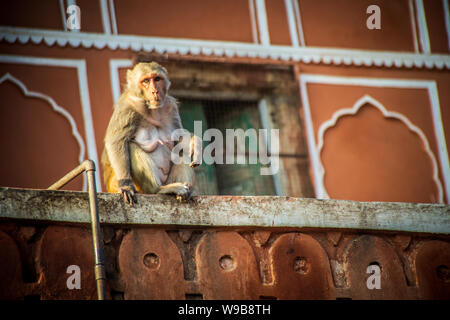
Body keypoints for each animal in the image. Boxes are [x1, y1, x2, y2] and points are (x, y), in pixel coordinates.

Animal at [103, 62, 201, 205]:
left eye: (157, 79)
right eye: (146, 81)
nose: (155, 91)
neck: (151, 109)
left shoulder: (170, 106)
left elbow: (179, 140)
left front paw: (196, 143)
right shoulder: (127, 108)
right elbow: (116, 142)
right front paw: (126, 186)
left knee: (182, 150)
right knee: (131, 146)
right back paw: (159, 190)